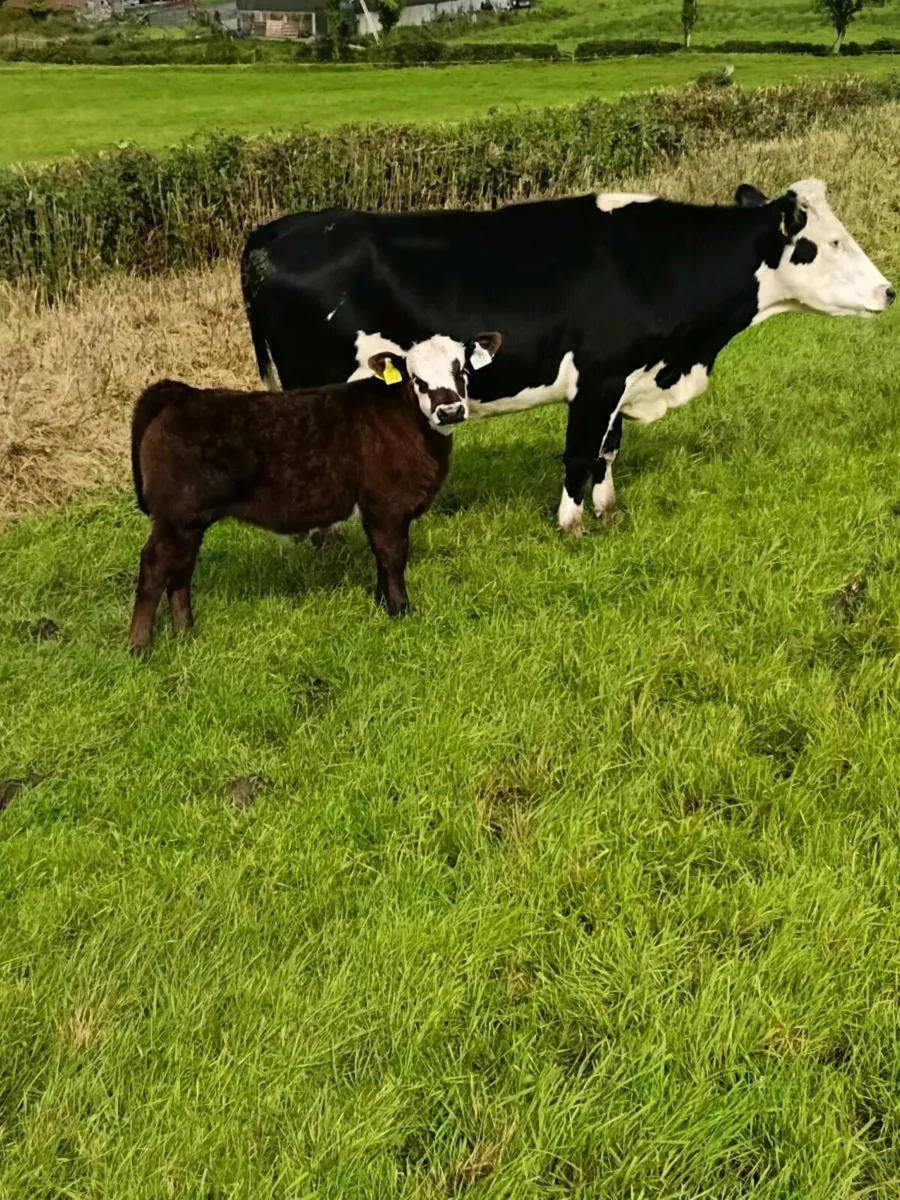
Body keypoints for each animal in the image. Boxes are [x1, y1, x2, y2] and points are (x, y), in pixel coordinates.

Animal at [128, 331, 502, 652]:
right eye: (417, 380)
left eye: (462, 370)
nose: (450, 410)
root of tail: (181, 394)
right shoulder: (387, 504)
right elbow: (393, 557)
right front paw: (400, 611)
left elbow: (381, 559)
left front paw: (382, 604)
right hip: (176, 516)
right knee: (155, 566)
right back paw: (139, 647)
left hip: (188, 521)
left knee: (181, 569)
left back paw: (185, 633)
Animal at [240, 179, 894, 535]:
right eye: (829, 243)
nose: (889, 291)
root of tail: (272, 232)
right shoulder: (599, 379)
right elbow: (581, 453)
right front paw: (571, 526)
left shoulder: (625, 379)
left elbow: (607, 451)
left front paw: (608, 513)